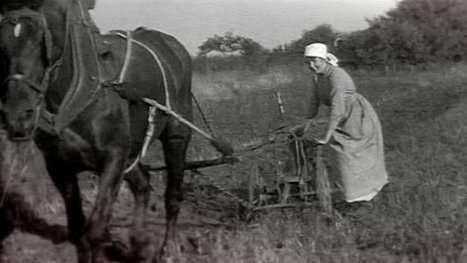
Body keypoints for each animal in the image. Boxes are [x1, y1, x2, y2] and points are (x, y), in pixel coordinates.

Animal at [0, 0, 193, 262]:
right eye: (2, 42)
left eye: (44, 41)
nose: (17, 116)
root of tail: (174, 46)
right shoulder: (59, 166)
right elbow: (77, 229)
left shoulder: (113, 158)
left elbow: (96, 229)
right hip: (130, 151)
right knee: (142, 185)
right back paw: (138, 242)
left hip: (176, 135)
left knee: (173, 194)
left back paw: (169, 249)